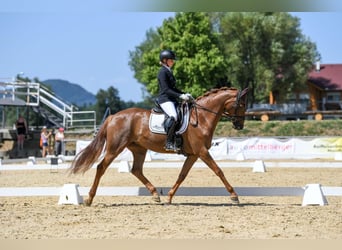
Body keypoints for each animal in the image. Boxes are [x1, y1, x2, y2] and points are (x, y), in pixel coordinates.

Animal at [69, 87, 247, 206]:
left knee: (136, 170)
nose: (239, 126)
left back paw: (156, 194)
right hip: (115, 148)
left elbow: (182, 175)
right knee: (101, 167)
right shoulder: (202, 152)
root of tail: (113, 116)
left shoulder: (193, 154)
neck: (202, 117)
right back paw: (89, 199)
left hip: (139, 149)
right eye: (241, 105)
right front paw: (234, 196)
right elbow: (218, 170)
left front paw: (169, 197)